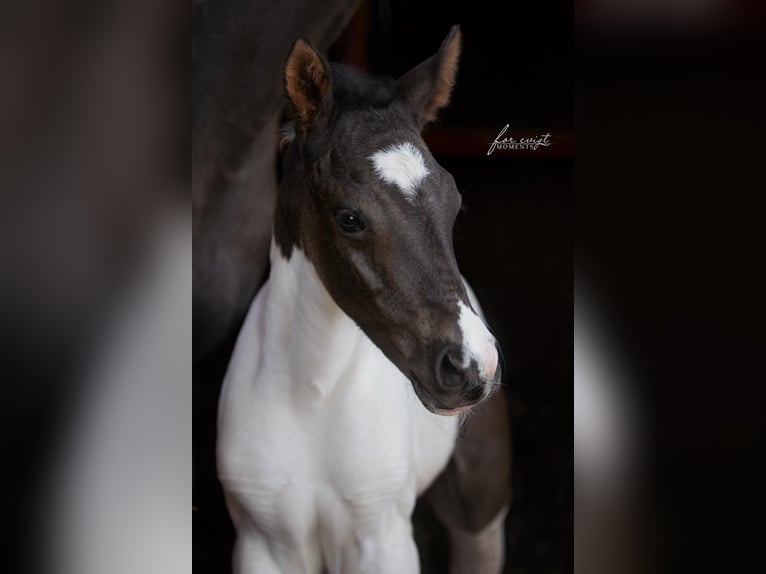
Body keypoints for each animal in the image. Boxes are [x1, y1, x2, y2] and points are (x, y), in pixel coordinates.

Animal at [217, 26, 511, 573]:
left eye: (455, 203)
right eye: (349, 218)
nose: (471, 364)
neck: (312, 395)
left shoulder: (382, 541)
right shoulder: (262, 544)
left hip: (480, 507)